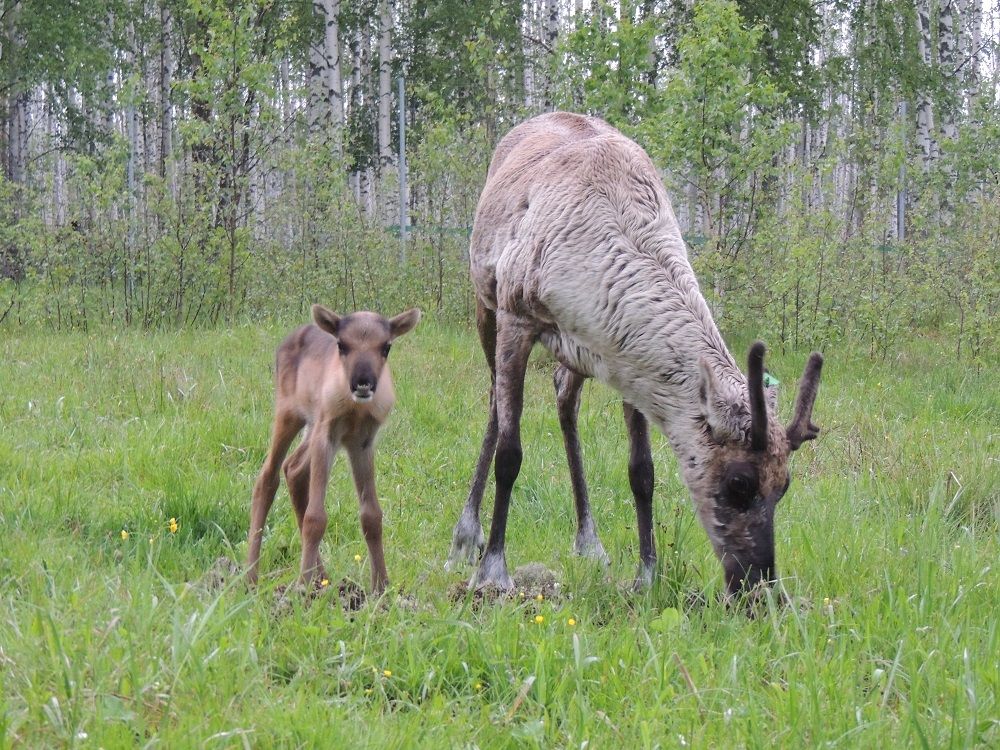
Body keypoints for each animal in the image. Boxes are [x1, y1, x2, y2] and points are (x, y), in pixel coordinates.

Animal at [252, 304, 424, 592]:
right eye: (342, 345)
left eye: (386, 346)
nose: (363, 382)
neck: (355, 411)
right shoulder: (327, 432)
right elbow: (315, 517)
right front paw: (302, 586)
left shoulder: (362, 442)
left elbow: (372, 516)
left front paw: (381, 586)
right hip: (290, 414)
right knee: (267, 476)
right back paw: (250, 576)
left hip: (311, 426)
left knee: (294, 468)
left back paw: (322, 577)